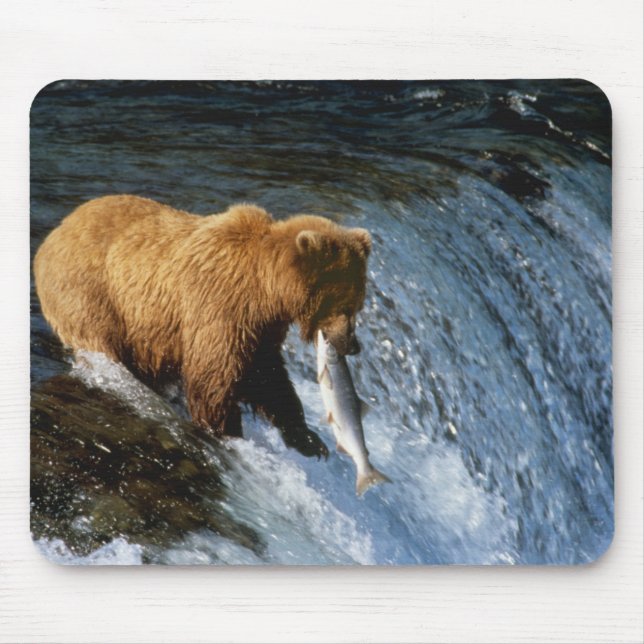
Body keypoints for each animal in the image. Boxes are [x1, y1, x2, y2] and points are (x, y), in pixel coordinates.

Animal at [34, 195, 371, 458]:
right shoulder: (220, 306)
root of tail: (52, 236)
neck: (267, 290)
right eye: (346, 307)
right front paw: (226, 432)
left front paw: (309, 439)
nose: (353, 345)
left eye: (358, 305)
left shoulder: (260, 327)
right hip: (91, 294)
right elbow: (214, 376)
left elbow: (267, 376)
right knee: (100, 339)